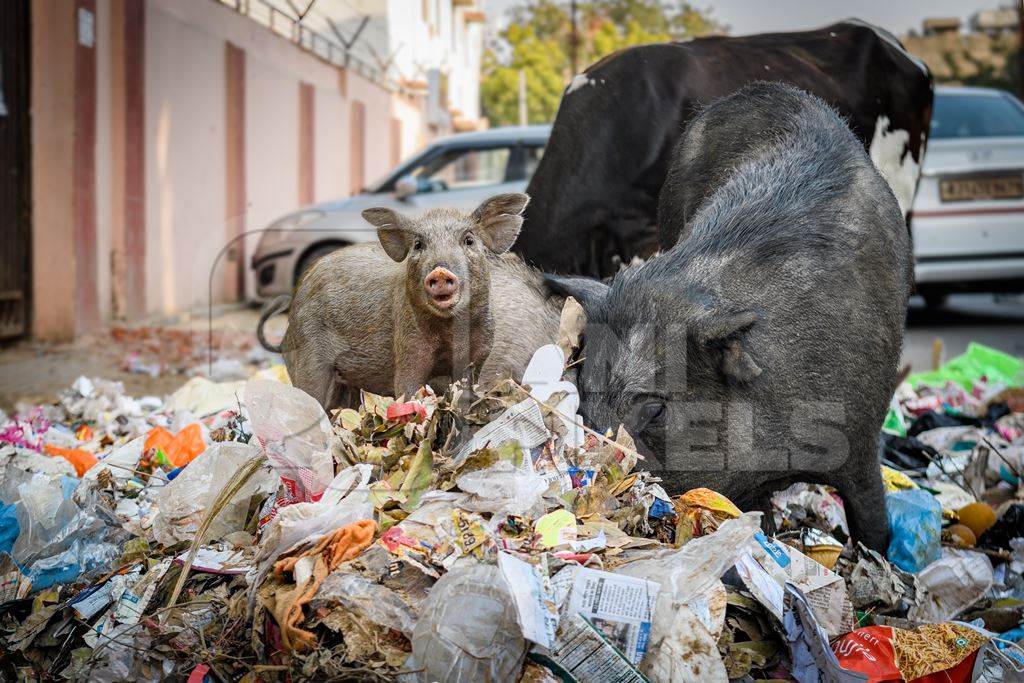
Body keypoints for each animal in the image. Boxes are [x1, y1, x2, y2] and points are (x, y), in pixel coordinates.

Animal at [268, 193, 561, 405]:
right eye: (419, 244)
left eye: (468, 240)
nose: (440, 271)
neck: (449, 332)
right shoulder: (408, 347)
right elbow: (407, 390)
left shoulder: (480, 354)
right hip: (308, 358)